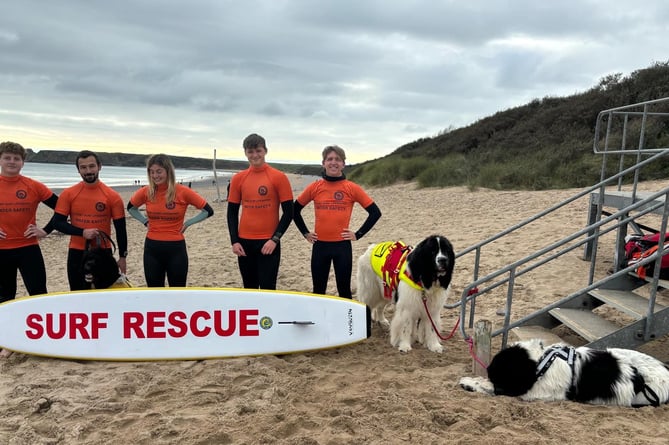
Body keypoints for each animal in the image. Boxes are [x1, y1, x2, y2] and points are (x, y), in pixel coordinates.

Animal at [460, 340, 668, 406]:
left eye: (498, 372)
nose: (489, 371)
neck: (542, 363)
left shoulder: (535, 391)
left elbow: (490, 387)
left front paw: (469, 382)